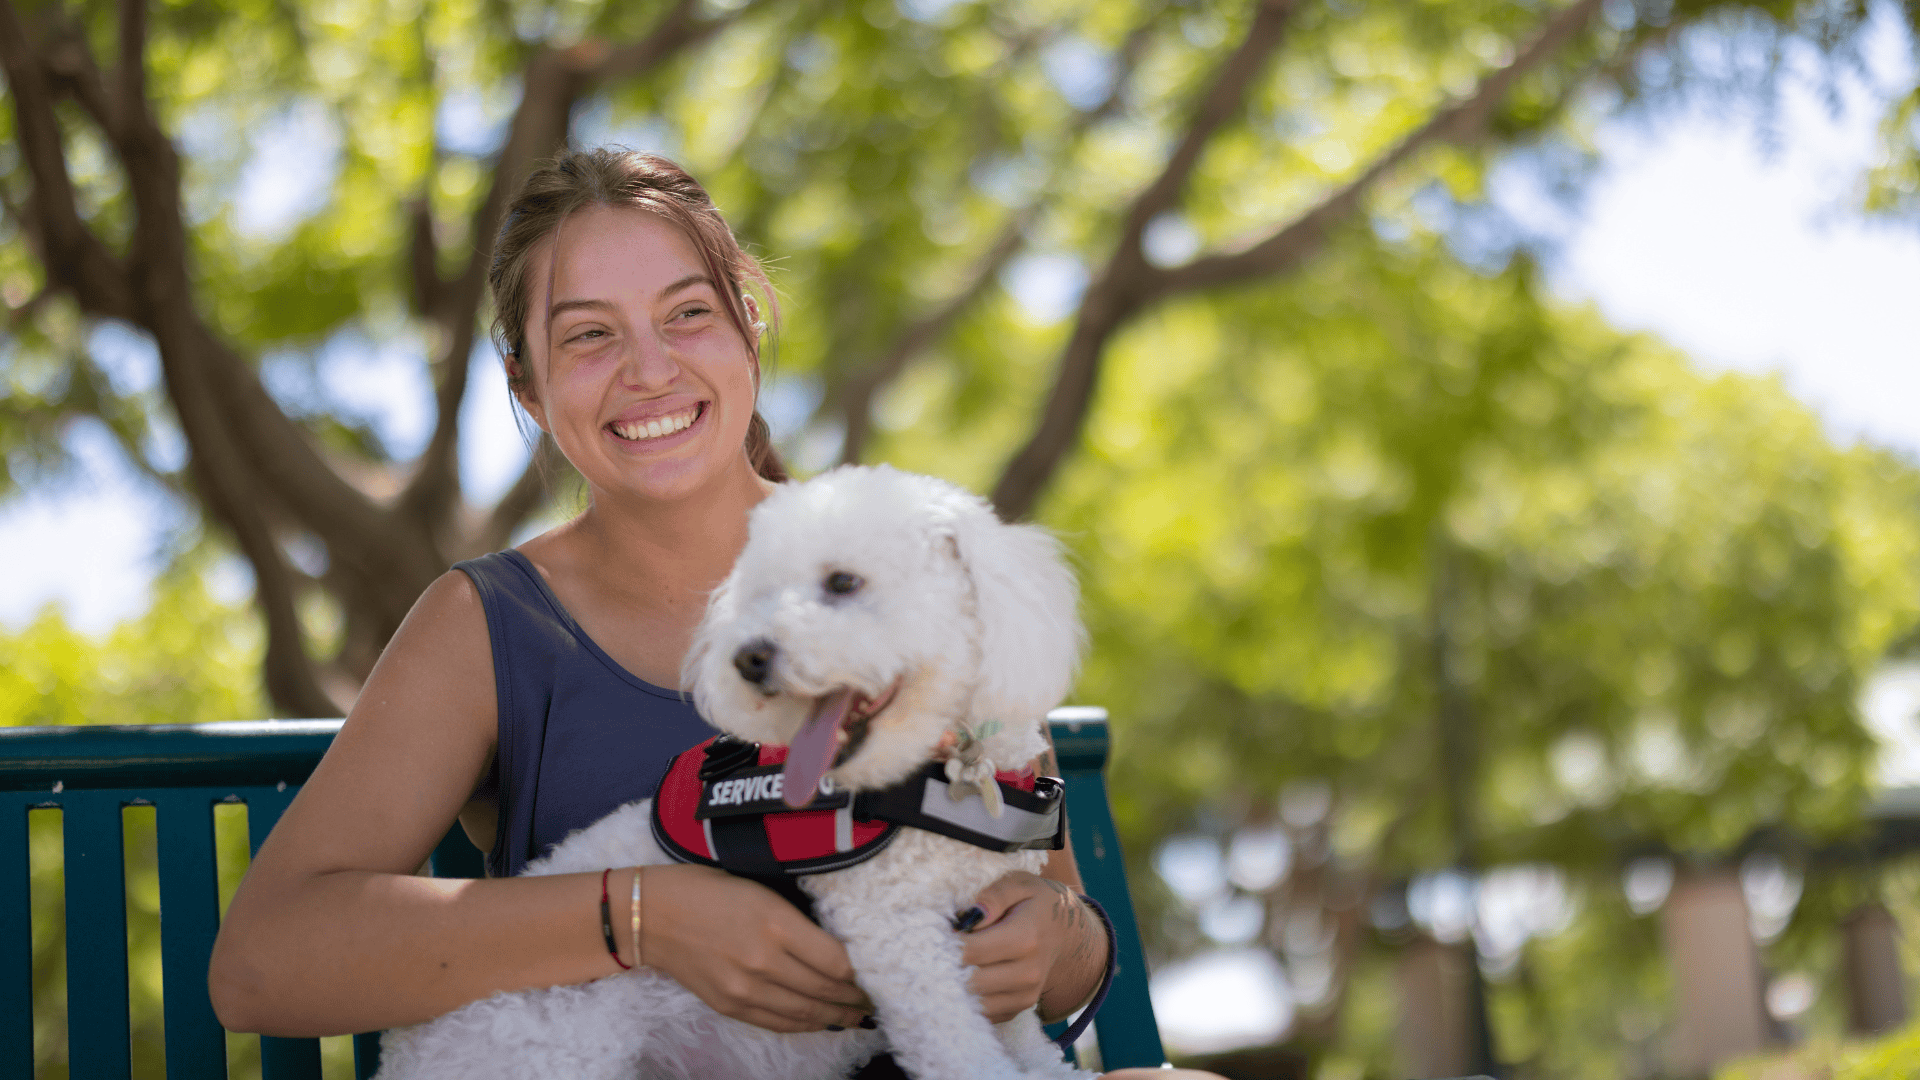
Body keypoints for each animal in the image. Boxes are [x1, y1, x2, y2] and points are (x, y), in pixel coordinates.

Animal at [374, 466, 1098, 1076]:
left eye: (843, 583)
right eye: (762, 595)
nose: (748, 658)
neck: (944, 769)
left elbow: (1028, 1045)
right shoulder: (898, 941)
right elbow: (961, 1055)